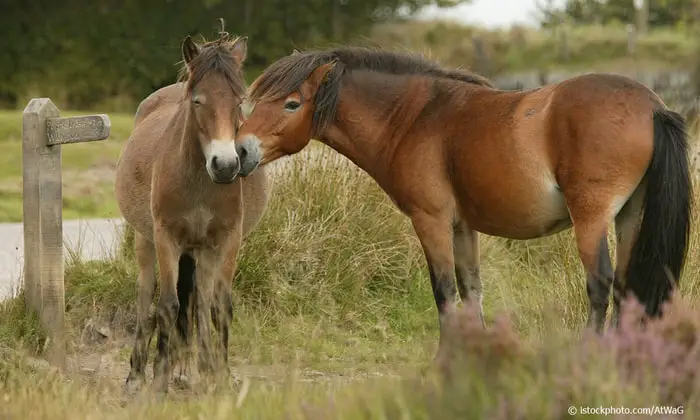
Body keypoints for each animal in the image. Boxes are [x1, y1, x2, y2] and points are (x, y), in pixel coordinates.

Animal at [113, 30, 270, 394]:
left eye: (239, 102)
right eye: (197, 101)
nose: (226, 165)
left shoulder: (228, 240)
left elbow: (218, 307)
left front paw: (221, 375)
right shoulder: (166, 237)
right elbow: (168, 306)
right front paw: (159, 380)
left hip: (202, 251)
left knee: (199, 301)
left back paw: (199, 368)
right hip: (145, 240)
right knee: (146, 296)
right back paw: (137, 374)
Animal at [234, 47, 688, 358]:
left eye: (292, 103)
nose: (239, 150)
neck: (415, 118)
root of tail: (652, 107)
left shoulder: (431, 221)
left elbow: (443, 289)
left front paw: (446, 358)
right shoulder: (462, 227)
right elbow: (471, 290)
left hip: (591, 220)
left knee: (600, 284)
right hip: (629, 217)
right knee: (626, 288)